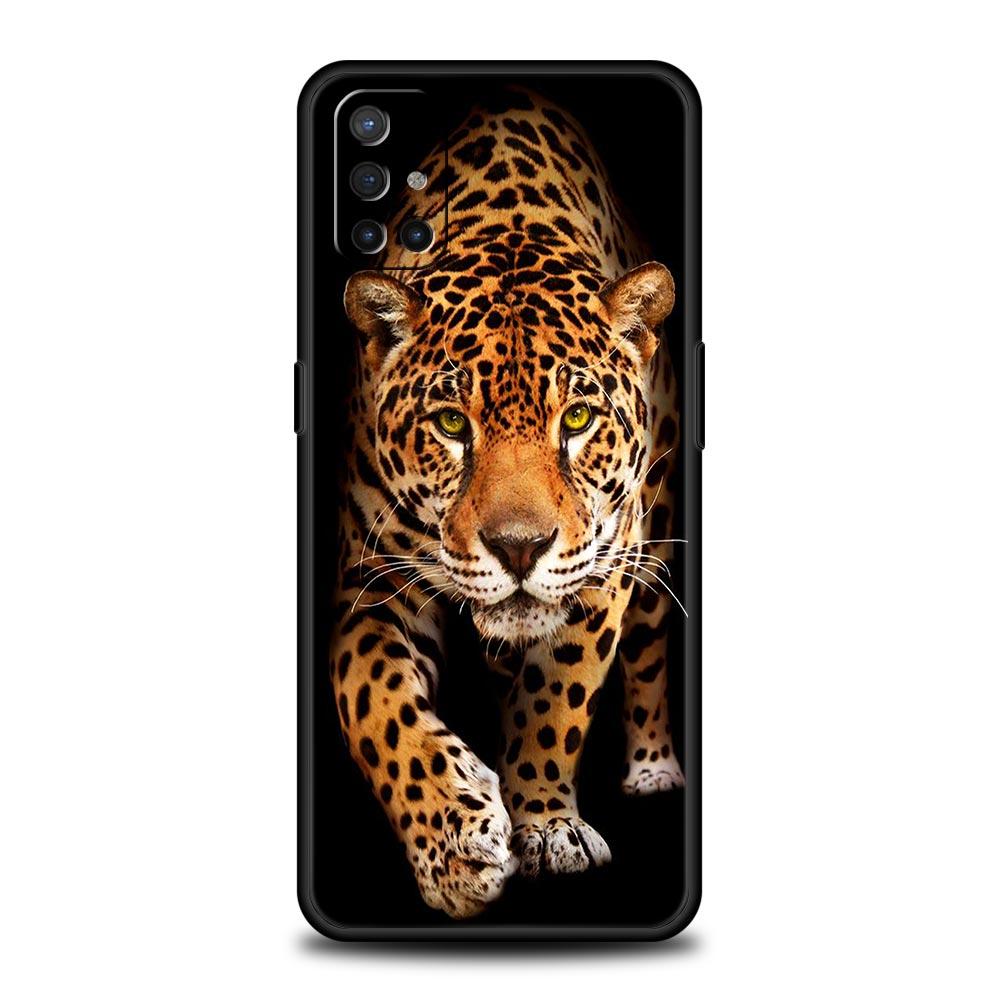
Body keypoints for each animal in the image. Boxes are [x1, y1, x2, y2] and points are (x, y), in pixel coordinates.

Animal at [331, 88, 685, 919]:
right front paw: (454, 845)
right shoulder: (371, 583)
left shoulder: (605, 564)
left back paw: (655, 769)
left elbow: (557, 699)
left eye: (578, 419)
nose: (519, 548)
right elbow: (373, 698)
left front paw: (548, 827)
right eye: (453, 425)